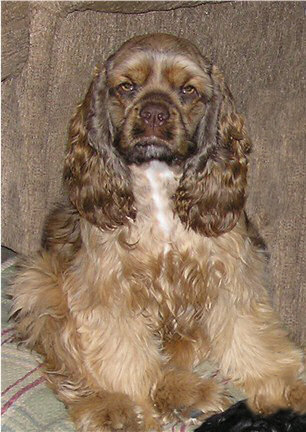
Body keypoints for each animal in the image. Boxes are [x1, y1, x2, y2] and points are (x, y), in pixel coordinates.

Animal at [10, 34, 306, 432]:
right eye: (127, 87)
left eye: (187, 90)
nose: (153, 113)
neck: (156, 180)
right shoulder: (105, 291)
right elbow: (124, 361)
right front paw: (134, 412)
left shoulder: (233, 273)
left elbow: (253, 338)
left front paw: (285, 389)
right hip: (39, 283)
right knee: (74, 367)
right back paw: (119, 407)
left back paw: (187, 393)